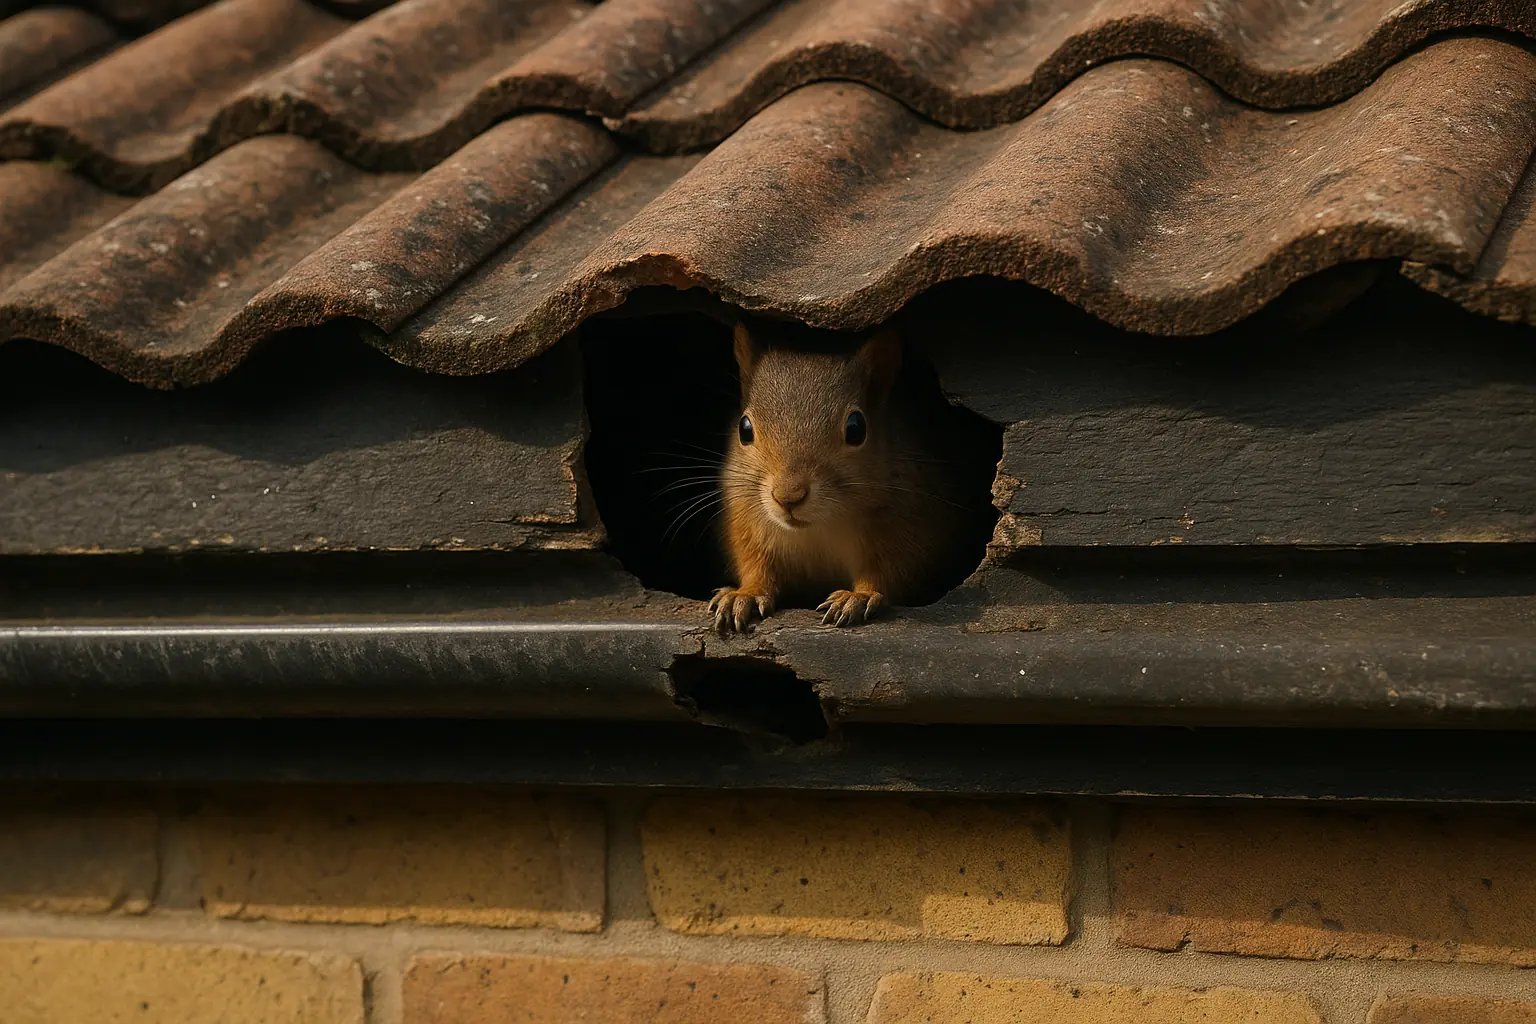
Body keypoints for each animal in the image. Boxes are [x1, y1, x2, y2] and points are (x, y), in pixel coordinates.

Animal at [709, 318, 977, 633]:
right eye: (744, 428)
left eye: (856, 428)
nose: (788, 496)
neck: (818, 528)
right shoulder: (745, 518)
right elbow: (754, 563)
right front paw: (745, 594)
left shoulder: (912, 523)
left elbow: (890, 570)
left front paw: (858, 597)